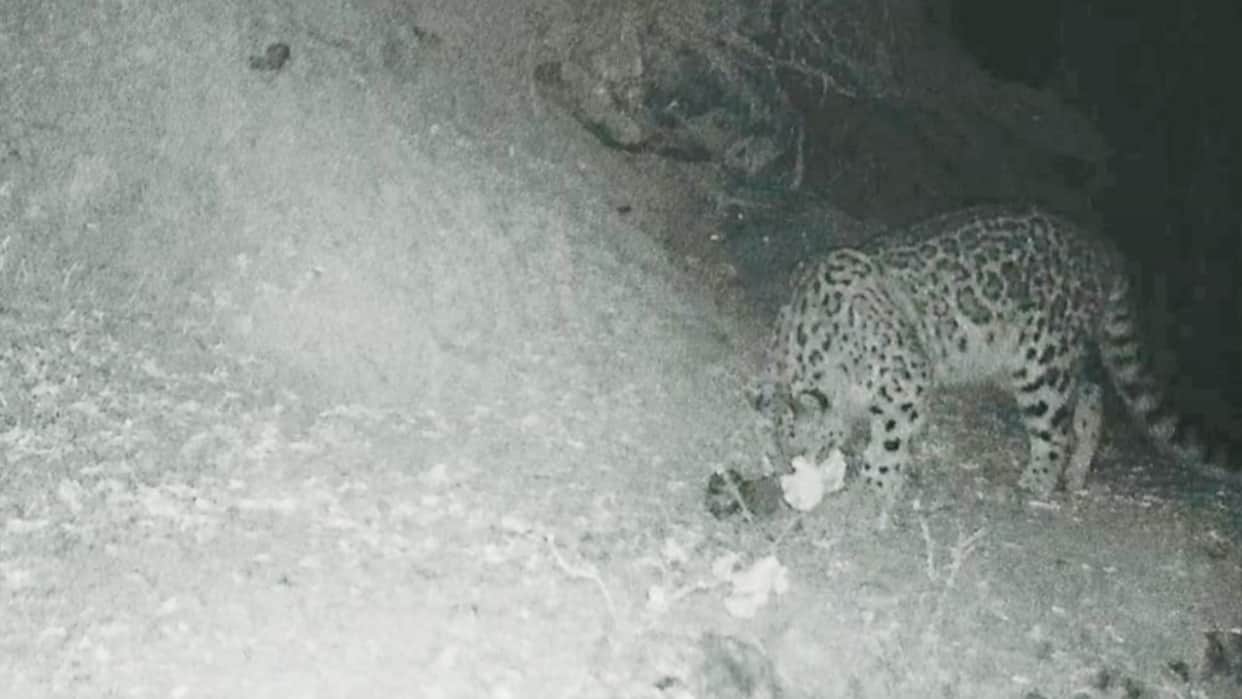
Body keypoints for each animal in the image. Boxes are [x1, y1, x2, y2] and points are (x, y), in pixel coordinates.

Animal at [757, 204, 1240, 498]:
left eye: (805, 445)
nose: (797, 469)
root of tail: (1102, 250)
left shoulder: (906, 377)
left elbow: (892, 438)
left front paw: (876, 483)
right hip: (1040, 362)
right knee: (1090, 394)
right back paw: (1076, 474)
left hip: (1041, 362)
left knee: (1055, 428)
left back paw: (1037, 483)